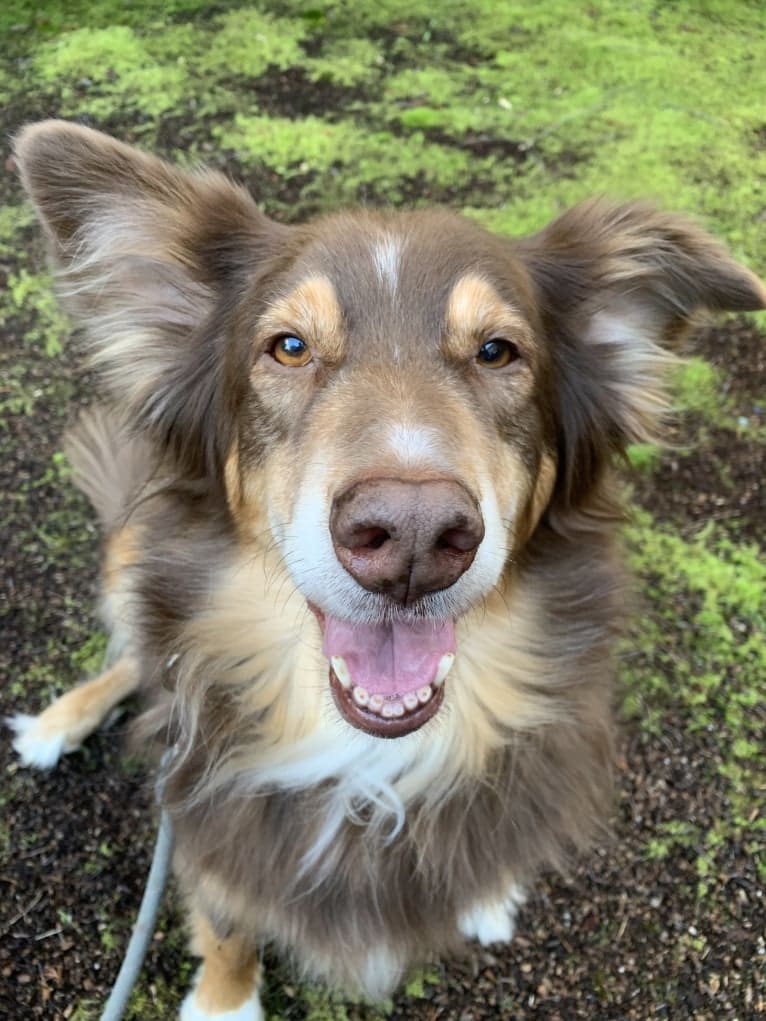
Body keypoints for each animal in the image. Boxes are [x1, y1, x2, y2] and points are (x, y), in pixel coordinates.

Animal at [10, 121, 766, 1021]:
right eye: (289, 347)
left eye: (498, 351)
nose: (411, 535)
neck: (371, 764)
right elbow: (226, 922)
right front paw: (223, 1001)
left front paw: (485, 889)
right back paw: (56, 723)